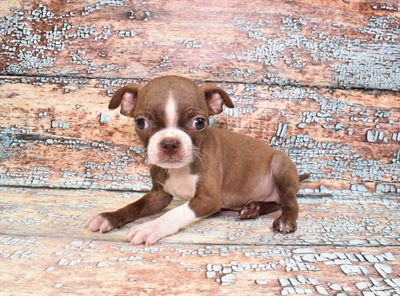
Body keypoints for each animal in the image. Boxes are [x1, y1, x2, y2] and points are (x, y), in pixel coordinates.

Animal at [84, 75, 310, 245]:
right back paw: (253, 208)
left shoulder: (208, 199)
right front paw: (108, 217)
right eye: (141, 123)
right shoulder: (159, 196)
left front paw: (150, 227)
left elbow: (174, 213)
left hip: (281, 165)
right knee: (275, 202)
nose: (170, 143)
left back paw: (284, 220)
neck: (181, 168)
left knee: (290, 202)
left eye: (199, 122)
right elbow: (134, 205)